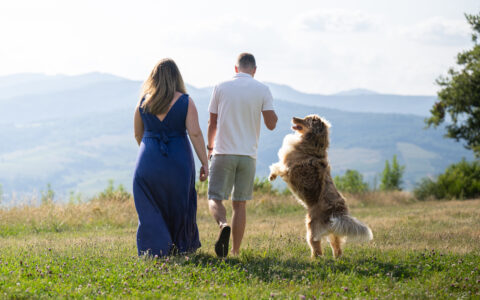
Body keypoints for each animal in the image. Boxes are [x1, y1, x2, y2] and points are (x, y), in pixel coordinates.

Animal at [268, 114, 374, 258]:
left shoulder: (287, 167)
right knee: (337, 247)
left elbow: (276, 166)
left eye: (306, 119)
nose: (293, 117)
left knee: (316, 248)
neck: (312, 145)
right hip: (334, 232)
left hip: (312, 229)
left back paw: (313, 259)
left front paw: (271, 176)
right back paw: (337, 259)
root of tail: (337, 212)